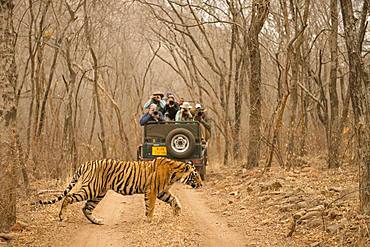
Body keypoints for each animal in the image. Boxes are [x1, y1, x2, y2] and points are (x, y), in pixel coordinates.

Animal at [32, 157, 202, 225]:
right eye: (195, 175)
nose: (201, 184)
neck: (175, 173)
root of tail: (86, 163)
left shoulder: (162, 192)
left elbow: (174, 200)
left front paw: (177, 213)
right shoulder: (152, 191)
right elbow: (151, 207)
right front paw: (149, 220)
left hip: (98, 193)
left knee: (86, 208)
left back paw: (97, 221)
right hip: (91, 189)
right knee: (69, 196)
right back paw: (62, 217)